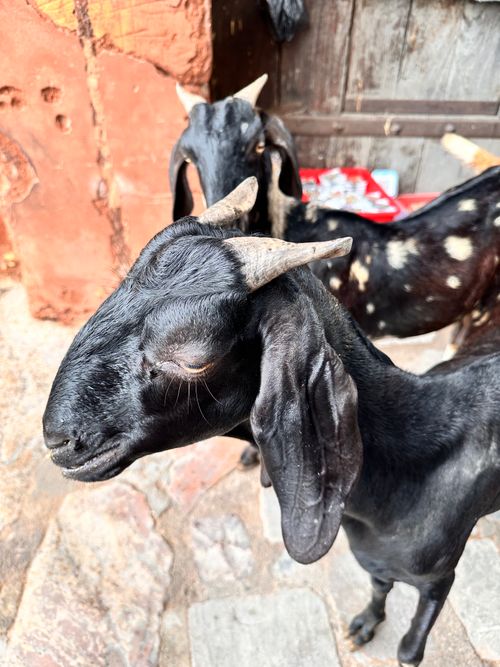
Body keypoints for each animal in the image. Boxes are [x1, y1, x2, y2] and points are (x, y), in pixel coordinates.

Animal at [44, 180, 500, 666]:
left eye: (195, 358)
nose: (58, 439)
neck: (412, 461)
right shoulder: (372, 557)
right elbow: (379, 584)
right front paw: (365, 623)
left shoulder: (439, 580)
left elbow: (410, 647)